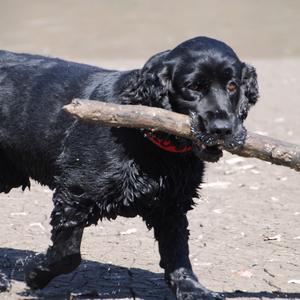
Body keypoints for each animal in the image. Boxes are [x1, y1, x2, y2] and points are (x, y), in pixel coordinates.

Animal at [0, 36, 258, 298]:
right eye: (193, 86)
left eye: (232, 86)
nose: (223, 129)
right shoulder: (75, 195)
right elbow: (68, 255)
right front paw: (36, 273)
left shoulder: (172, 205)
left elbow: (178, 253)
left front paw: (192, 288)